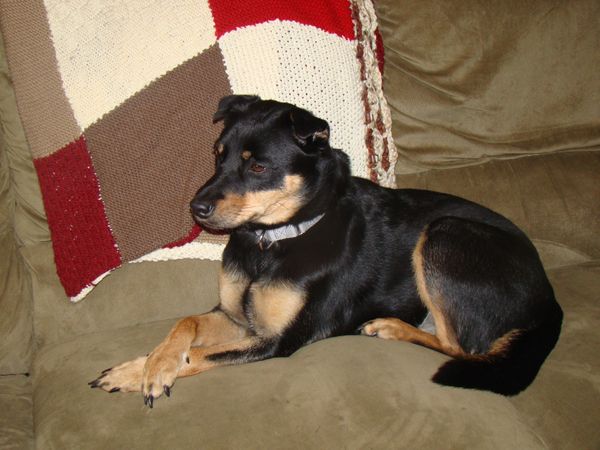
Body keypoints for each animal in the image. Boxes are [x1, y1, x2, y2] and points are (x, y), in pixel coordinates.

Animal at [89, 96, 564, 406]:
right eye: (217, 154)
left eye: (257, 165)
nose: (196, 208)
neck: (272, 241)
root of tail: (550, 295)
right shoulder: (235, 316)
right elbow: (185, 324)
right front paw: (150, 364)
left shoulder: (278, 340)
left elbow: (199, 354)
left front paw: (144, 372)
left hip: (445, 233)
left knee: (465, 348)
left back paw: (391, 327)